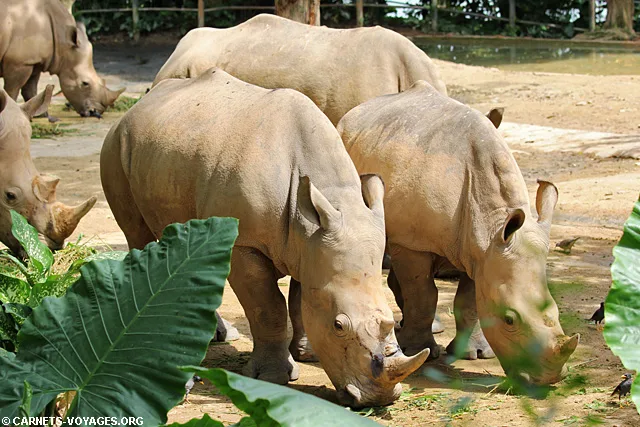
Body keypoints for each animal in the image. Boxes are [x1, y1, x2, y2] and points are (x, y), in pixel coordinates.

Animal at [100, 68, 429, 407]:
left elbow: (300, 300)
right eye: (339, 326)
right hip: (116, 146)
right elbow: (267, 306)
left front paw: (307, 354)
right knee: (137, 235)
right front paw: (273, 377)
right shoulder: (244, 243)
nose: (377, 399)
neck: (333, 197)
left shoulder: (312, 242)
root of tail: (141, 103)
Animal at [334, 81, 579, 385]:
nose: (549, 380)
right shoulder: (416, 243)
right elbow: (424, 295)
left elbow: (470, 302)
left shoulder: (483, 249)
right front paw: (419, 351)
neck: (491, 225)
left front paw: (474, 354)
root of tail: (358, 110)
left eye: (556, 311)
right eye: (509, 320)